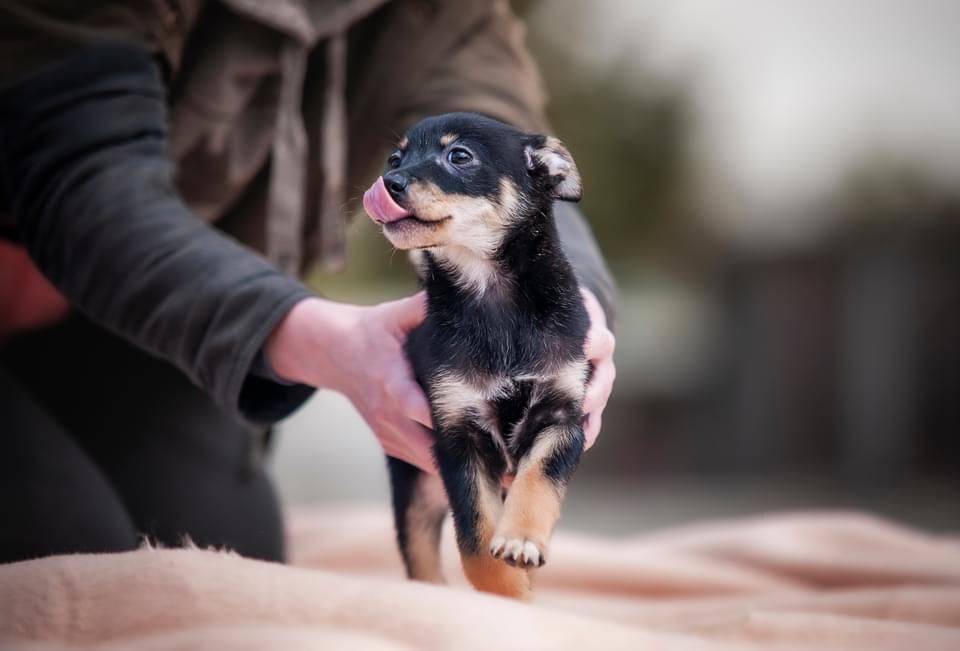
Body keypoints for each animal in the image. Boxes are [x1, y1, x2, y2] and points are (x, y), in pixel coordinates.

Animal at [364, 112, 588, 600]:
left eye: (459, 156)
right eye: (395, 158)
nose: (388, 182)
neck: (492, 298)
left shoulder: (563, 417)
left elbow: (538, 478)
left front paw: (521, 541)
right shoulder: (458, 436)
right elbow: (476, 542)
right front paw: (511, 595)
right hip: (415, 490)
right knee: (421, 556)